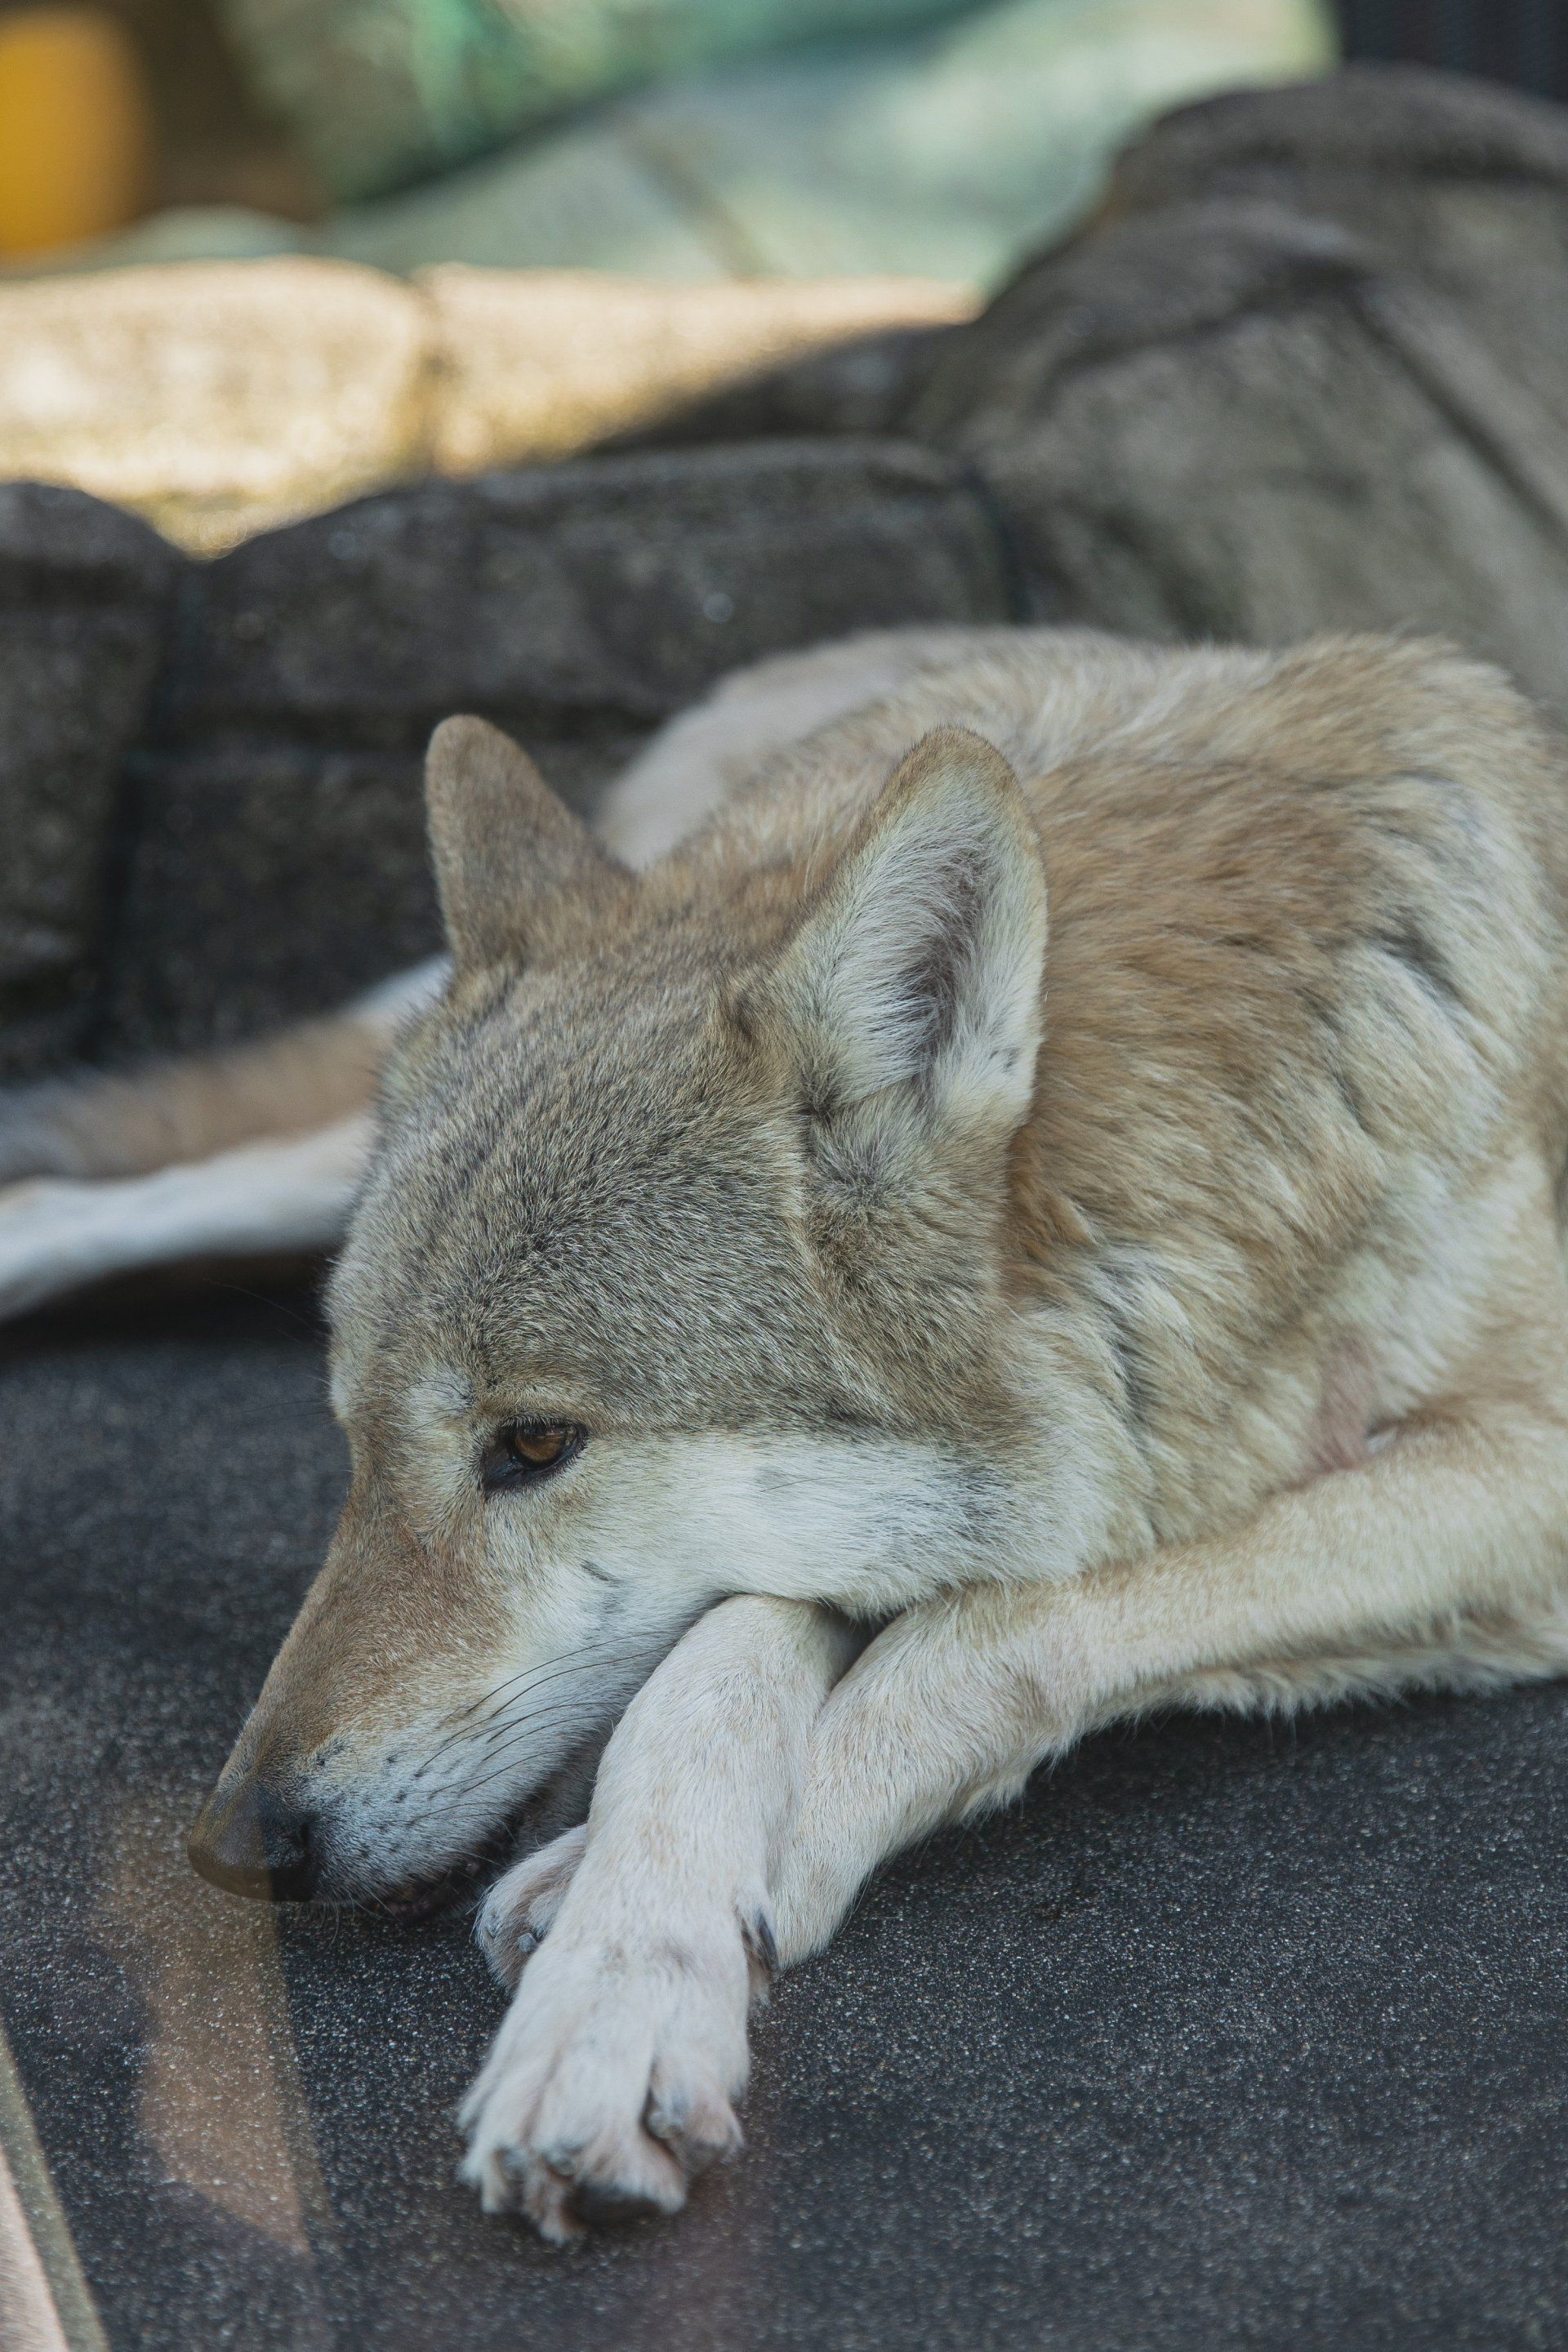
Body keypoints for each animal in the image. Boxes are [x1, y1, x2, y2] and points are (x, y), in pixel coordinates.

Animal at [7, 625, 1568, 2243]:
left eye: (535, 1445)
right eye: (354, 1447)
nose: (241, 1847)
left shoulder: (1525, 1474)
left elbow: (1002, 1629)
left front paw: (630, 1943)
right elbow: (728, 1662)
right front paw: (626, 1978)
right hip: (319, 1156)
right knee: (98, 1194)